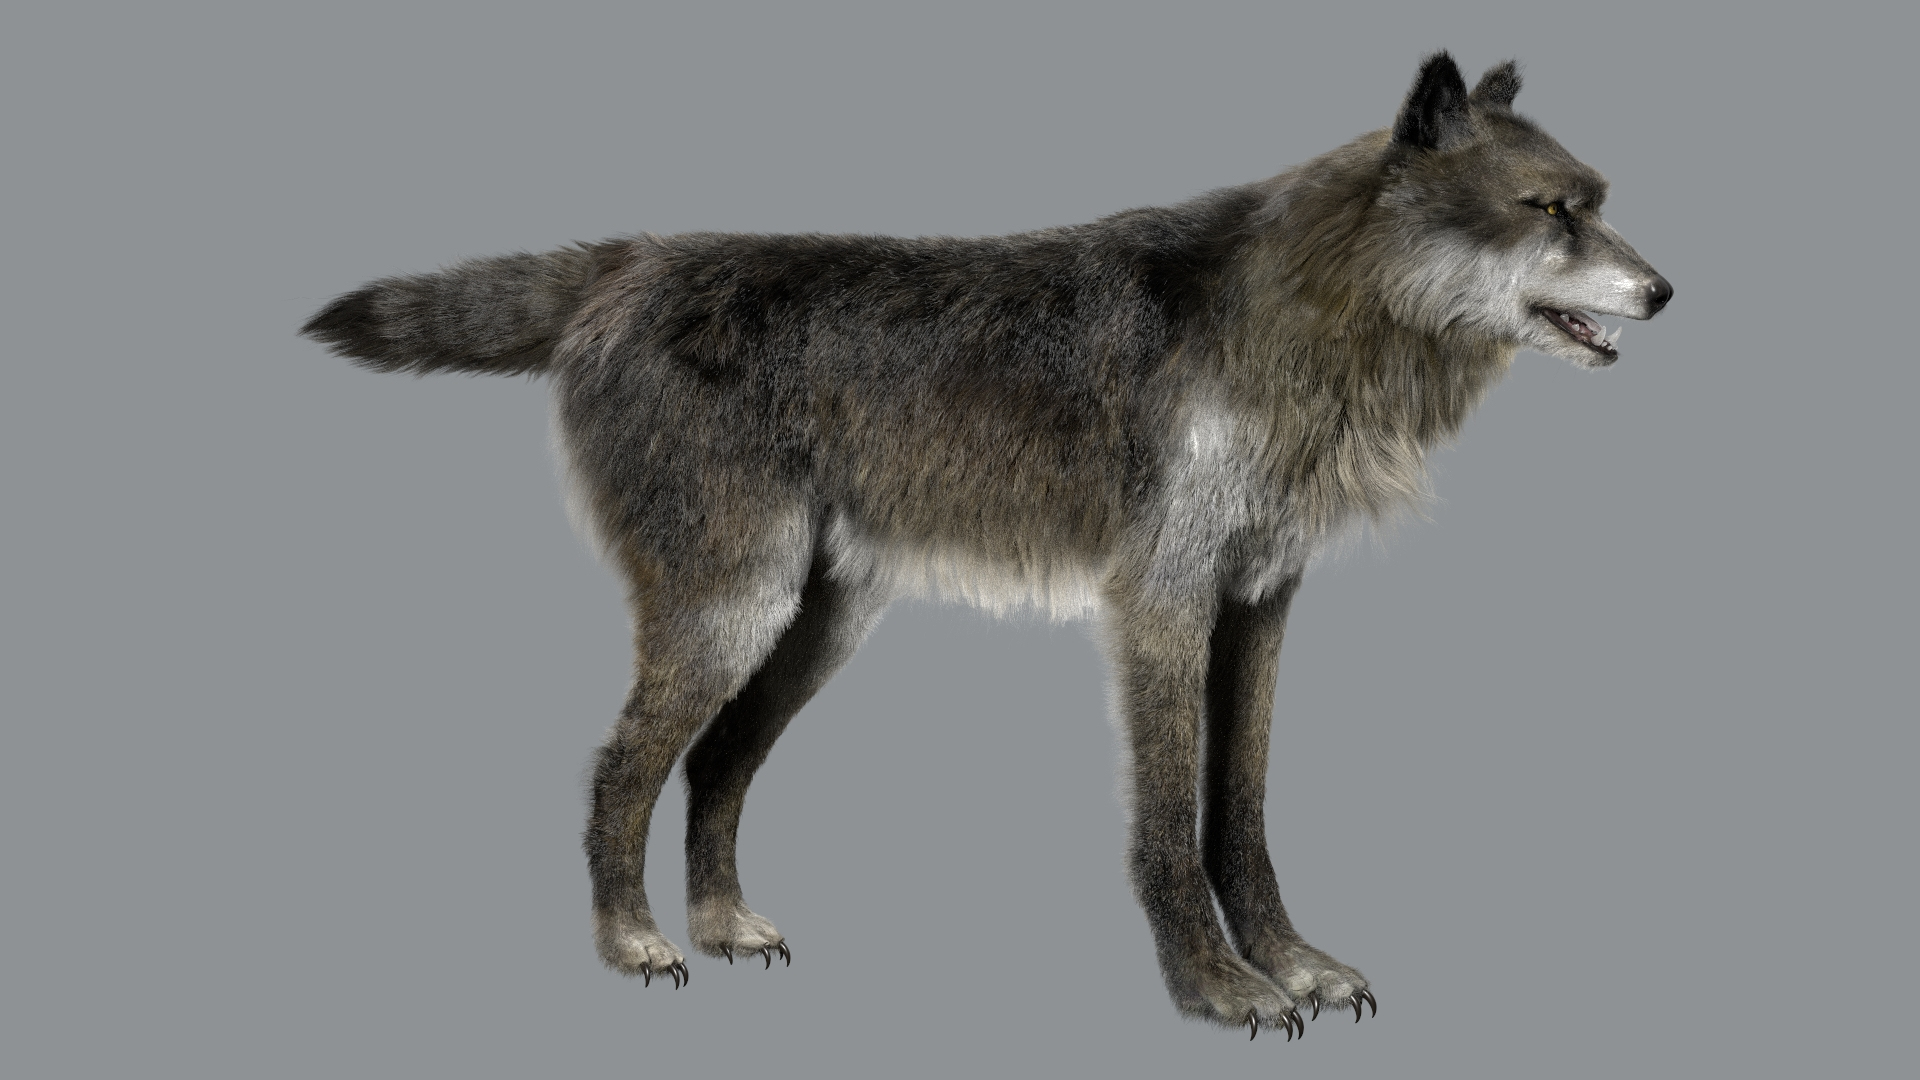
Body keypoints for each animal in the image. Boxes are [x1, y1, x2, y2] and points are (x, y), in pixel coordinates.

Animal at [303, 52, 1670, 1038]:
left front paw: (1291, 965)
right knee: (617, 771)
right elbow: (1169, 826)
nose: (1665, 292)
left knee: (716, 767)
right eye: (1550, 213)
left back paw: (725, 925)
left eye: (1598, 207)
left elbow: (1241, 814)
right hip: (734, 615)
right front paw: (1217, 991)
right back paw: (634, 946)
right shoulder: (1163, 606)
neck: (1308, 322)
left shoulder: (1259, 605)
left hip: (811, 631)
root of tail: (624, 263)